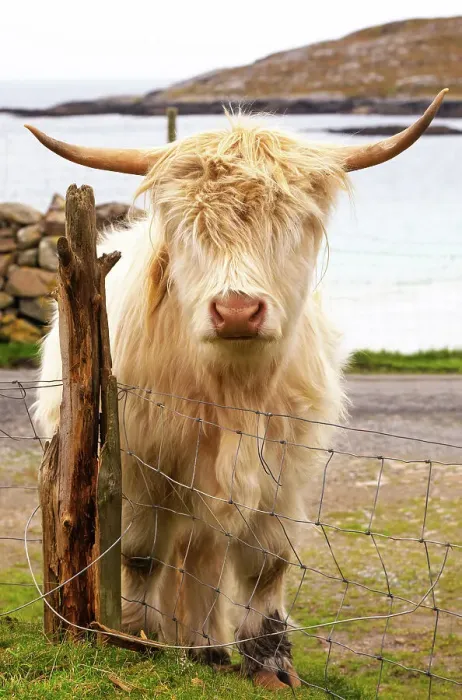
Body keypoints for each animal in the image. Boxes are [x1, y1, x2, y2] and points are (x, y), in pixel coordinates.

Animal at [30, 90, 446, 690]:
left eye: (295, 221)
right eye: (183, 224)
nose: (236, 311)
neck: (233, 391)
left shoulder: (283, 469)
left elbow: (266, 564)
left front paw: (270, 663)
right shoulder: (137, 465)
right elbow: (139, 554)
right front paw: (138, 636)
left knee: (202, 554)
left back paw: (206, 647)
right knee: (175, 553)